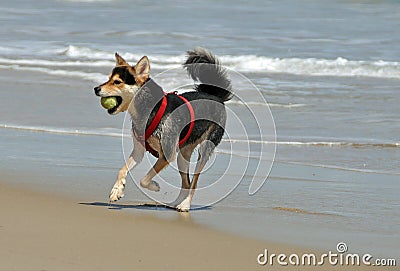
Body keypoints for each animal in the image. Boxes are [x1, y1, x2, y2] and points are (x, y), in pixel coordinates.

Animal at [93, 47, 231, 212]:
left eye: (117, 82)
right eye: (108, 79)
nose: (96, 89)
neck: (148, 109)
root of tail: (215, 96)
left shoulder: (167, 154)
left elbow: (144, 179)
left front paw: (154, 186)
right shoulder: (139, 151)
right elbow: (122, 170)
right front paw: (117, 191)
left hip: (204, 149)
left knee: (194, 182)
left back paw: (185, 205)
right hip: (182, 156)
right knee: (186, 182)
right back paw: (175, 203)